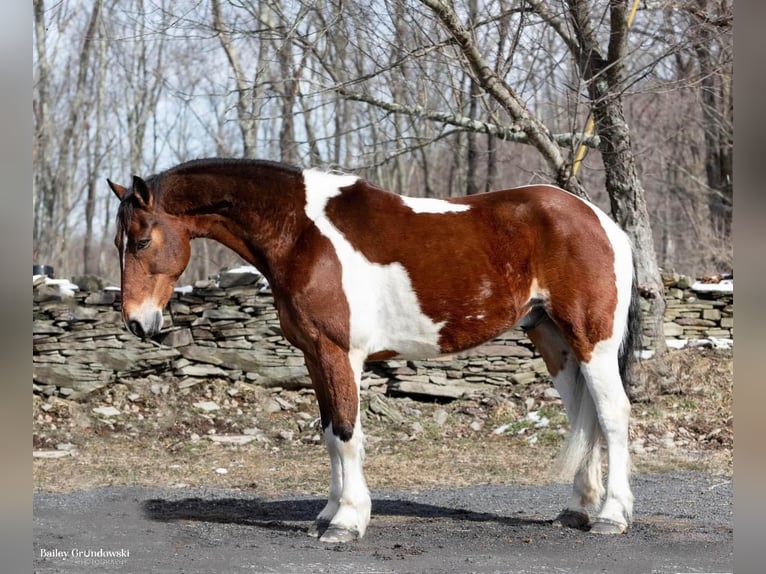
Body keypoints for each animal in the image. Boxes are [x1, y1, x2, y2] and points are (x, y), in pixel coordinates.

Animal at [108, 159, 640, 544]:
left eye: (141, 240)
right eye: (118, 242)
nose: (137, 322)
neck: (302, 234)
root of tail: (602, 223)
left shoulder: (339, 352)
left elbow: (346, 433)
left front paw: (347, 522)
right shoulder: (315, 356)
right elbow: (329, 433)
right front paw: (327, 515)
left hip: (592, 342)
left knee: (612, 414)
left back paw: (612, 516)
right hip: (556, 342)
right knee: (586, 416)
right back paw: (578, 510)